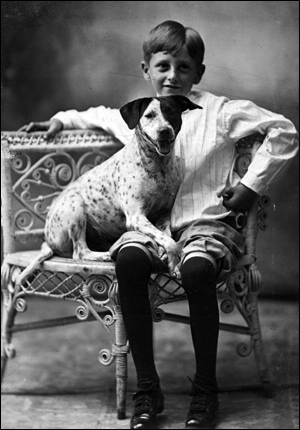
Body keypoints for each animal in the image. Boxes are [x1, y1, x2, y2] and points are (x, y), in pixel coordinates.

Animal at [18, 94, 202, 282]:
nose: (164, 130)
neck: (158, 167)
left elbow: (167, 237)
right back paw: (104, 255)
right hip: (75, 204)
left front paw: (170, 260)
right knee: (80, 252)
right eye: (149, 115)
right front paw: (174, 262)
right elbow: (171, 242)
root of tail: (48, 240)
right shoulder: (136, 217)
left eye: (171, 112)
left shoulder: (163, 215)